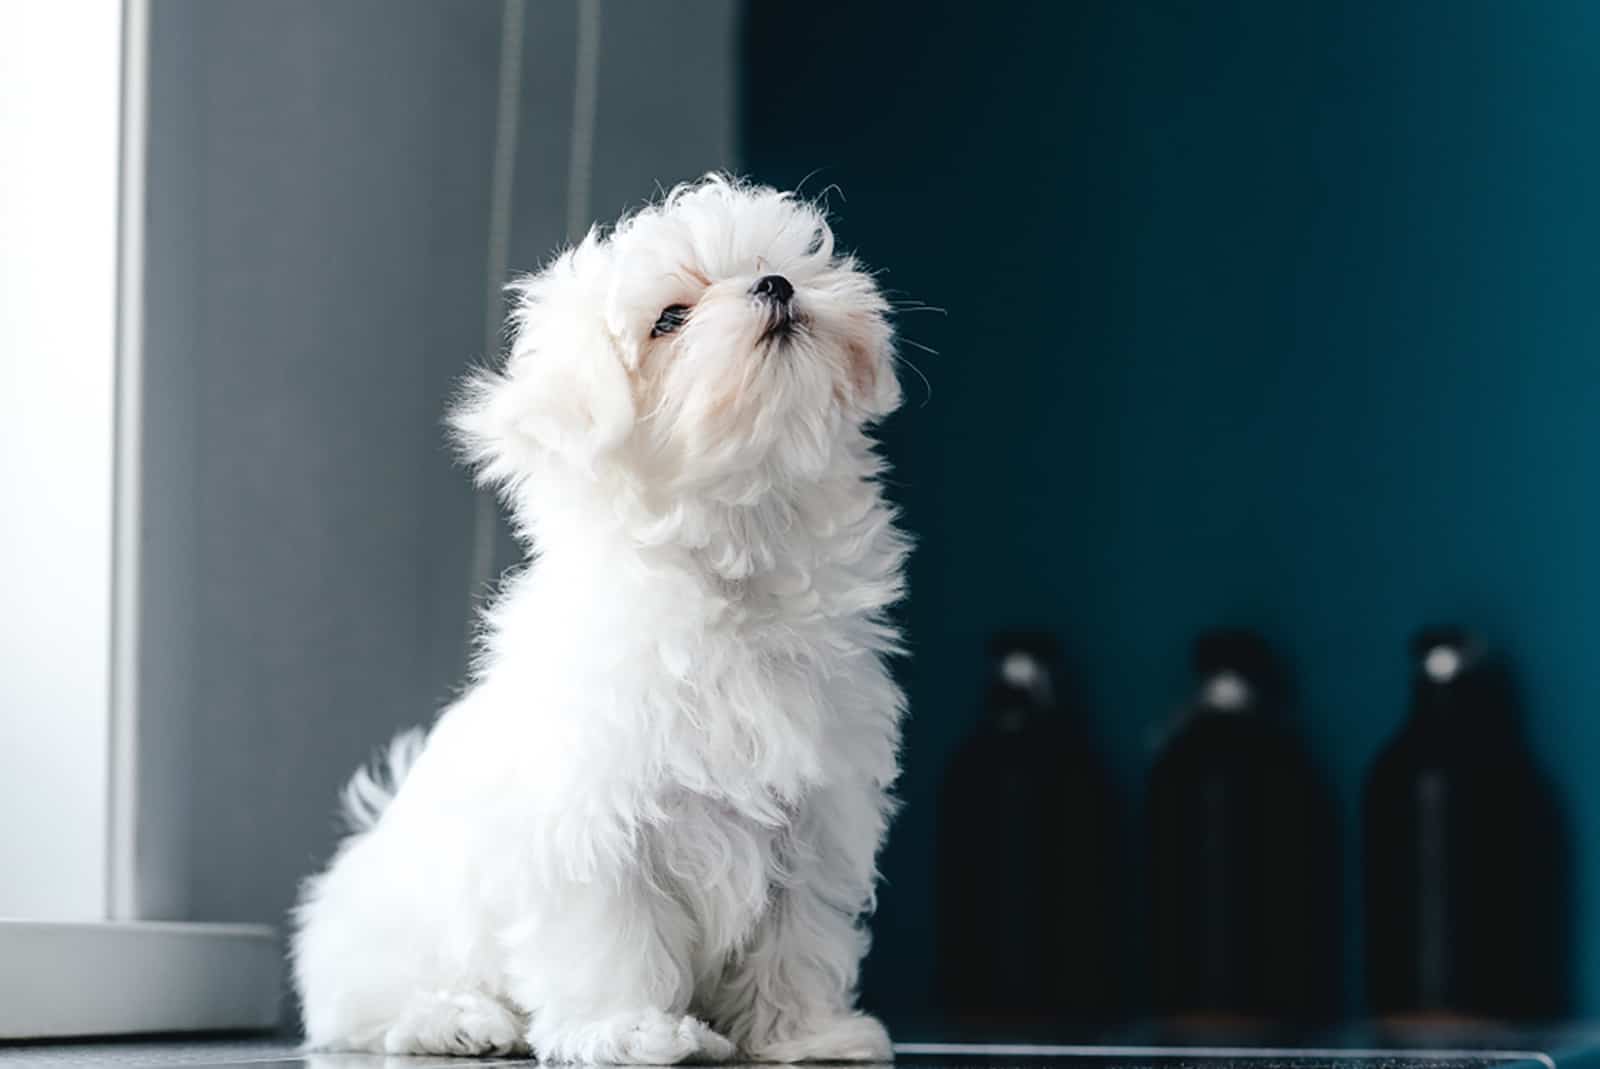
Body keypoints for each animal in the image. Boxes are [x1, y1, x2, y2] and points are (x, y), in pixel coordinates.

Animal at [292, 175, 908, 1062]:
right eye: (670, 318)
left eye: (779, 262)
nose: (776, 286)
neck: (737, 563)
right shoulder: (592, 818)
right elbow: (611, 934)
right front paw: (633, 1029)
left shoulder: (815, 815)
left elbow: (798, 933)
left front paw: (805, 1031)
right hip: (393, 932)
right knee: (367, 1007)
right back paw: (459, 1020)